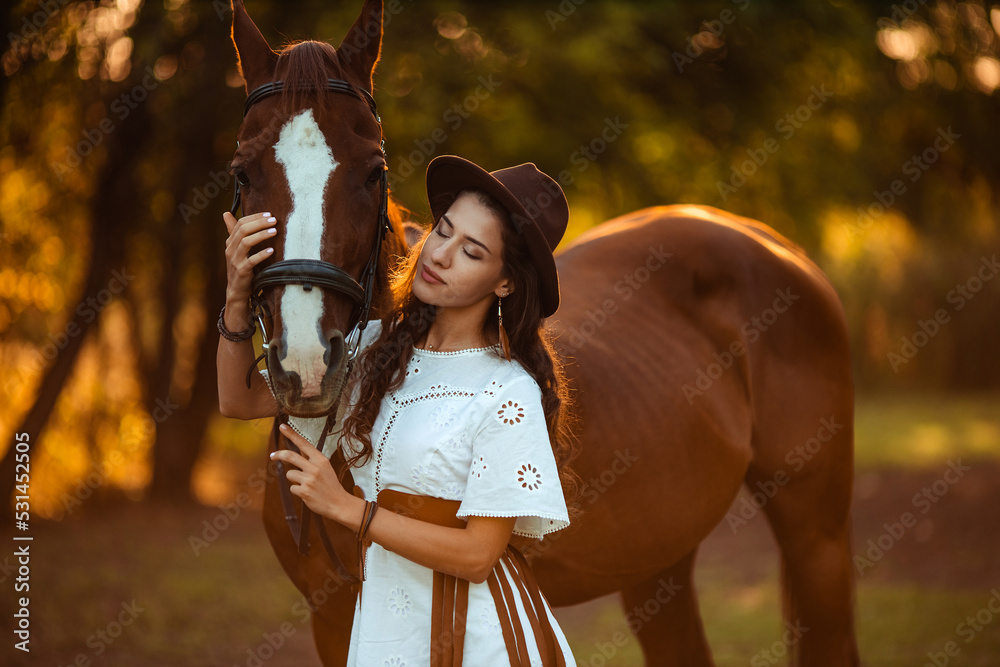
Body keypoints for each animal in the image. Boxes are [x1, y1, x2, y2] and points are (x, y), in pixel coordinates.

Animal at [227, 2, 860, 664]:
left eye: (374, 172)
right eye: (242, 172)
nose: (306, 364)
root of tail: (775, 246)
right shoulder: (329, 618)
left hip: (815, 533)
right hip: (659, 560)